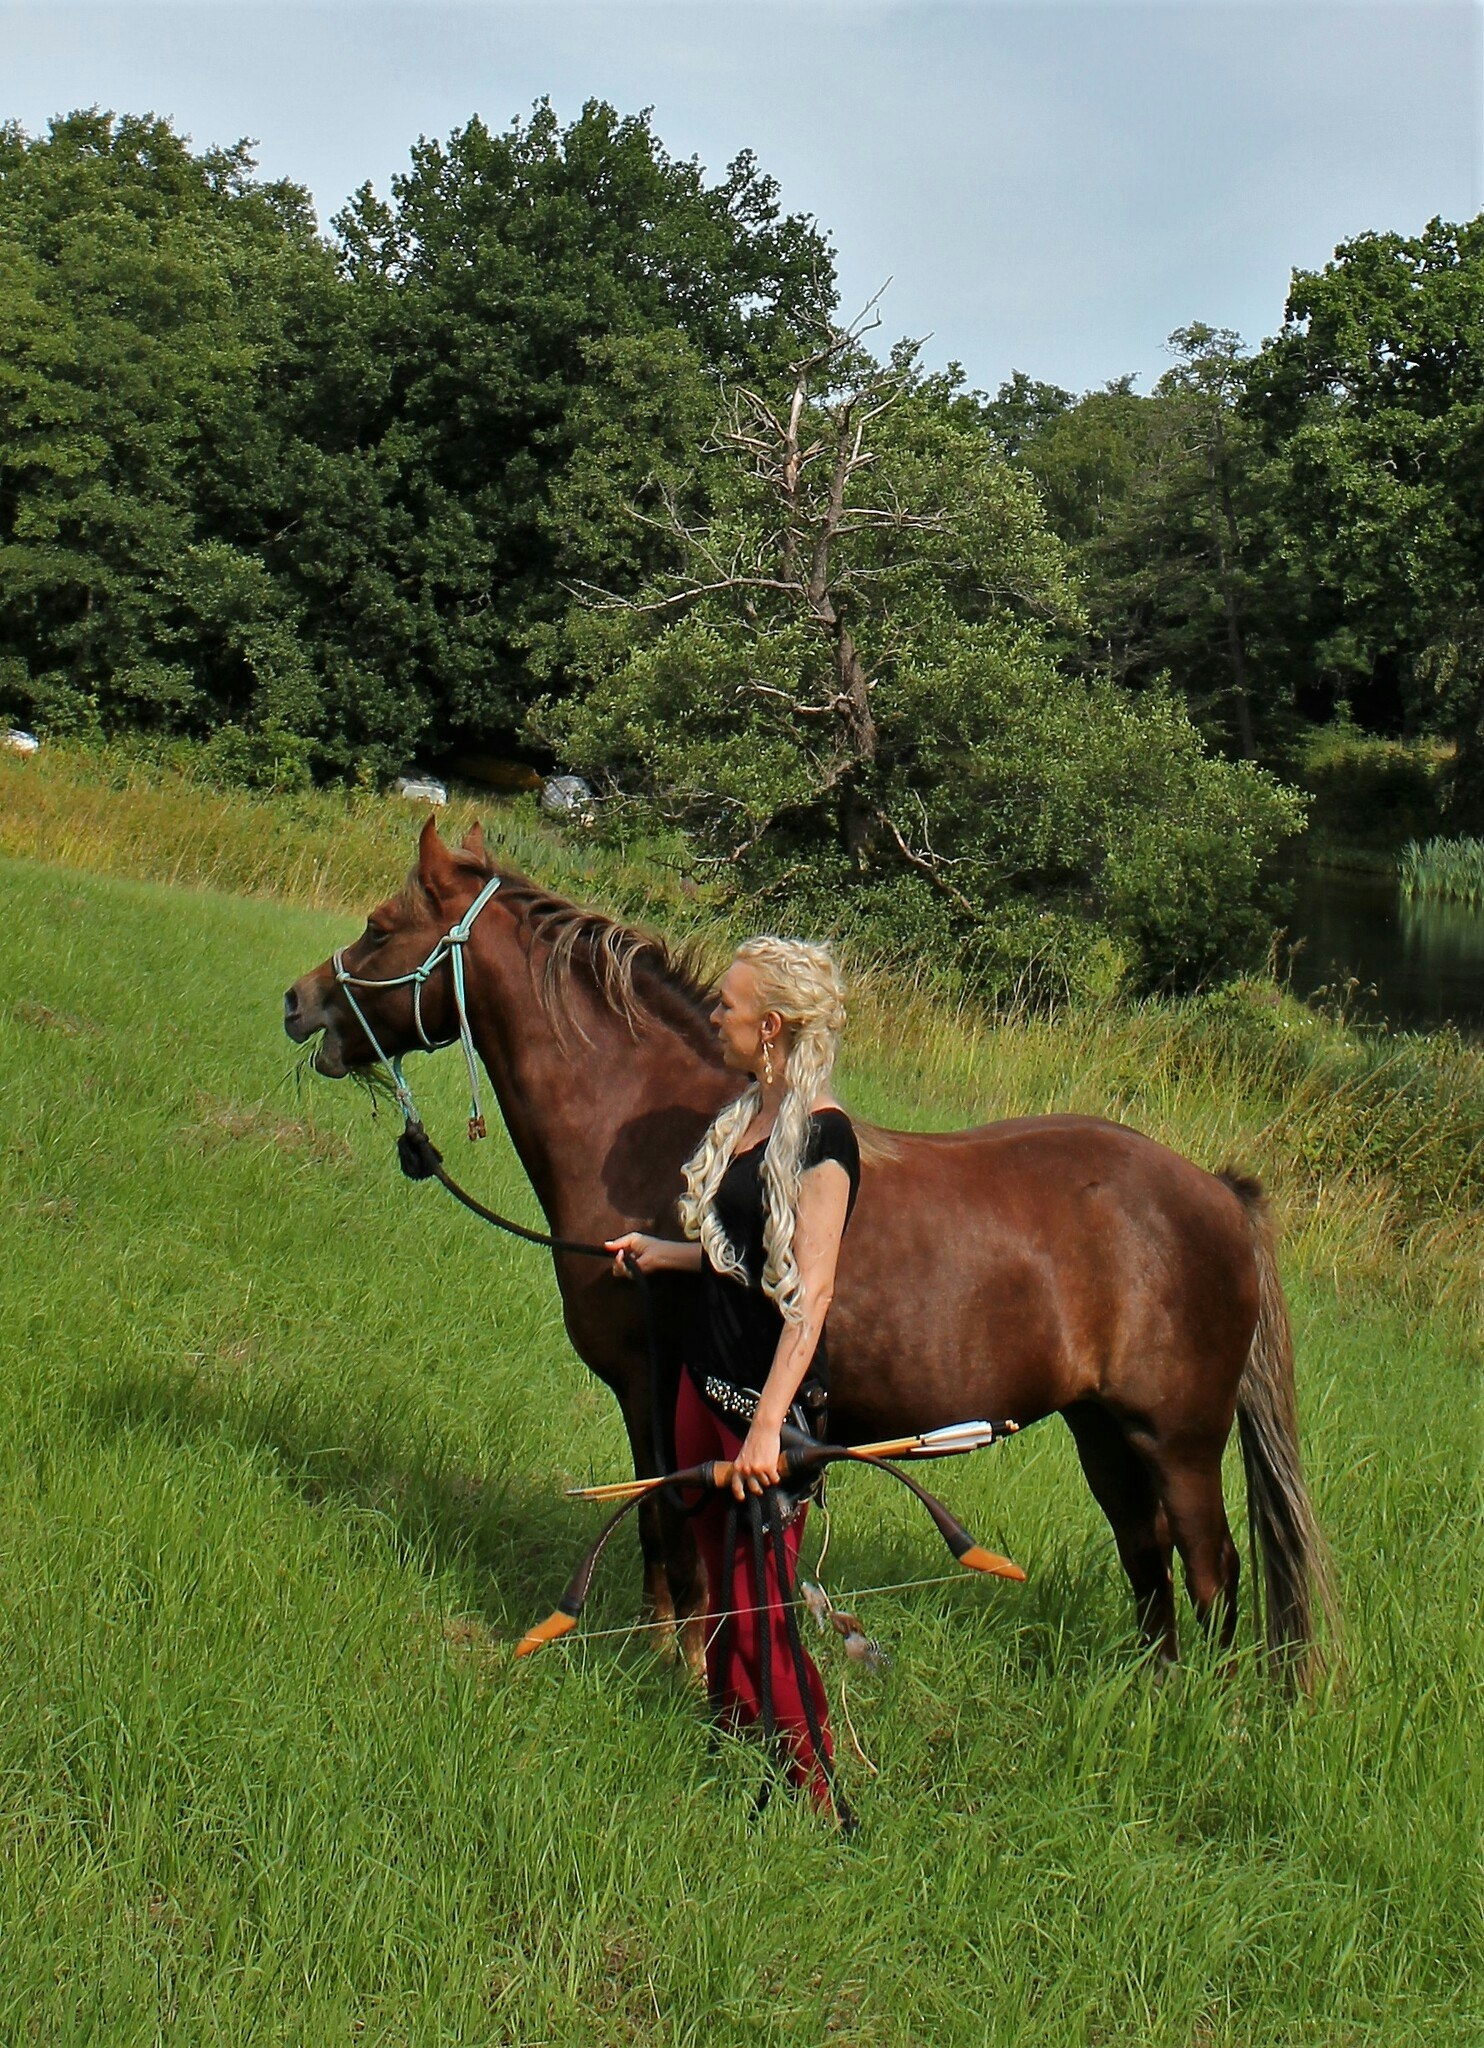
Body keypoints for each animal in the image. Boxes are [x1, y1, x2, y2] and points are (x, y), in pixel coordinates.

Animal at [284, 811, 1334, 1679]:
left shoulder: (655, 1383)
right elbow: (656, 1528)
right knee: (1146, 1559)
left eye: (379, 925)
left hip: (1178, 1440)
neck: (648, 1130)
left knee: (1210, 1571)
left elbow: (675, 1526)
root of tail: (1219, 1194)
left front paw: (686, 1667)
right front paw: (665, 1650)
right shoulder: (646, 1395)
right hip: (1104, 1431)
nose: (299, 1001)